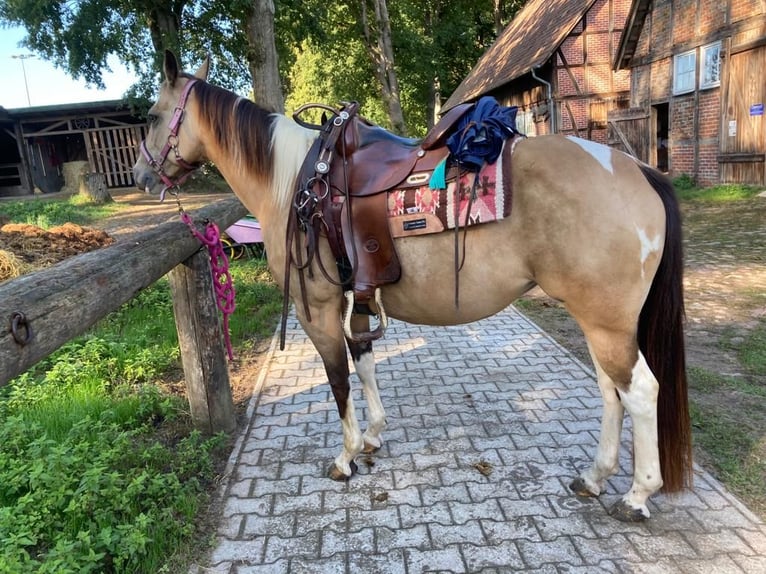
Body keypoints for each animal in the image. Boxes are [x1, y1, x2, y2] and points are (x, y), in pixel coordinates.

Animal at [133, 51, 692, 522]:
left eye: (155, 116)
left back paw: (637, 495)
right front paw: (374, 437)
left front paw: (345, 456)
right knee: (609, 391)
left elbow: (338, 380)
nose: (141, 175)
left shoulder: (317, 309)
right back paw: (594, 477)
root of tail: (636, 169)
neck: (294, 183)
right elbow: (365, 362)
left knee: (640, 392)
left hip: (607, 323)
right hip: (596, 319)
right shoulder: (355, 298)